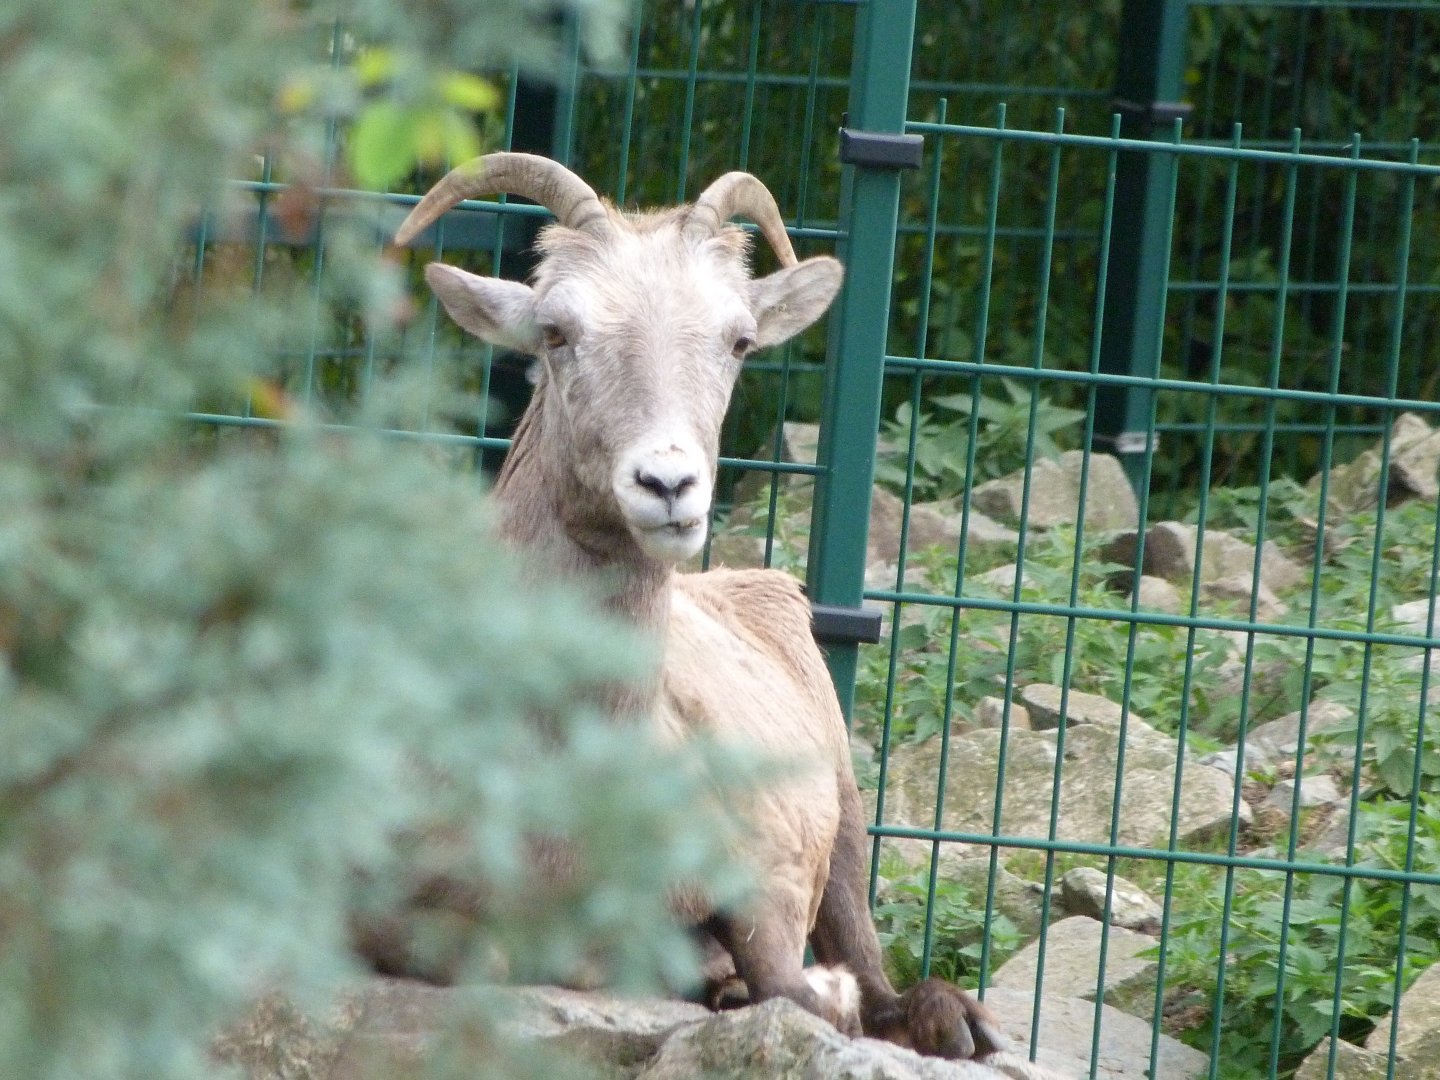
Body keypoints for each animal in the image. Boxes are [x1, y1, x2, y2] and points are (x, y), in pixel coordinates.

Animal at [391, 152, 1040, 1068]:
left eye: (738, 340)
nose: (667, 485)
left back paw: (955, 1021)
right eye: (555, 332)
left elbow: (790, 983)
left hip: (846, 818)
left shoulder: (765, 882)